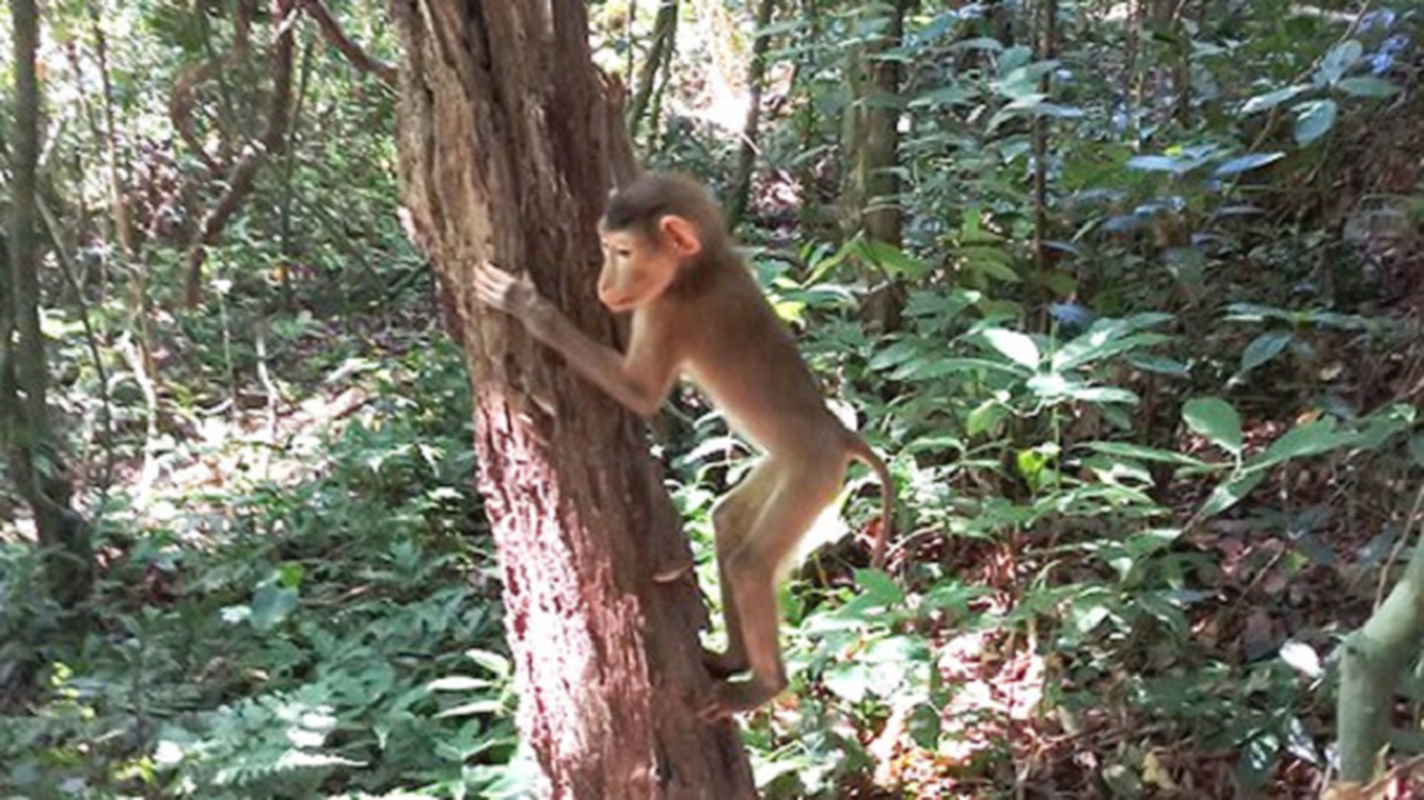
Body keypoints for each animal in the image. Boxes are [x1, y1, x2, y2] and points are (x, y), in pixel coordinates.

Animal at [472, 169, 894, 717]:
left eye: (623, 252)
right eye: (606, 249)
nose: (604, 285)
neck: (702, 267)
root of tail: (839, 432)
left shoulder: (667, 310)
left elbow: (640, 393)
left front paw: (527, 307)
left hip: (813, 475)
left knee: (751, 567)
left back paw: (763, 684)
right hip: (789, 465)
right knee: (728, 521)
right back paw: (733, 656)